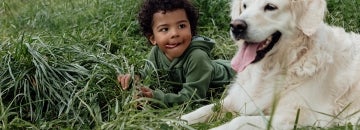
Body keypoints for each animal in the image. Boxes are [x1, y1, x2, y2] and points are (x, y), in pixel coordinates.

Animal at [181, 0, 360, 129]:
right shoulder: (239, 98)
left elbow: (240, 121)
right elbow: (205, 109)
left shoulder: (298, 117)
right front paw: (177, 120)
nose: (236, 26)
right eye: (244, 5)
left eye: (270, 7)